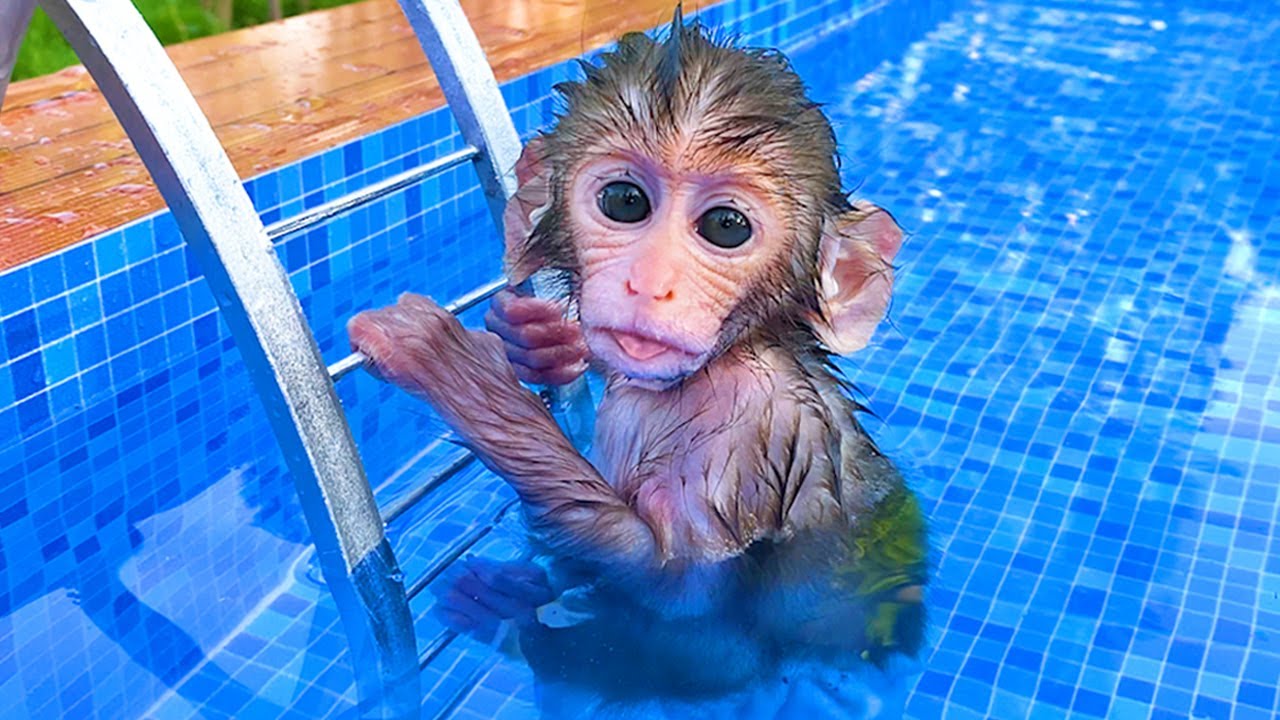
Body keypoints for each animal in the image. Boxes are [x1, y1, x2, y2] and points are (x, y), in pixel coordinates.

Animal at [348, 10, 928, 719]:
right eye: (625, 201)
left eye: (727, 226)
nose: (650, 284)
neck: (725, 359)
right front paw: (535, 337)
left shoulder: (742, 442)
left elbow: (673, 586)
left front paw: (455, 368)